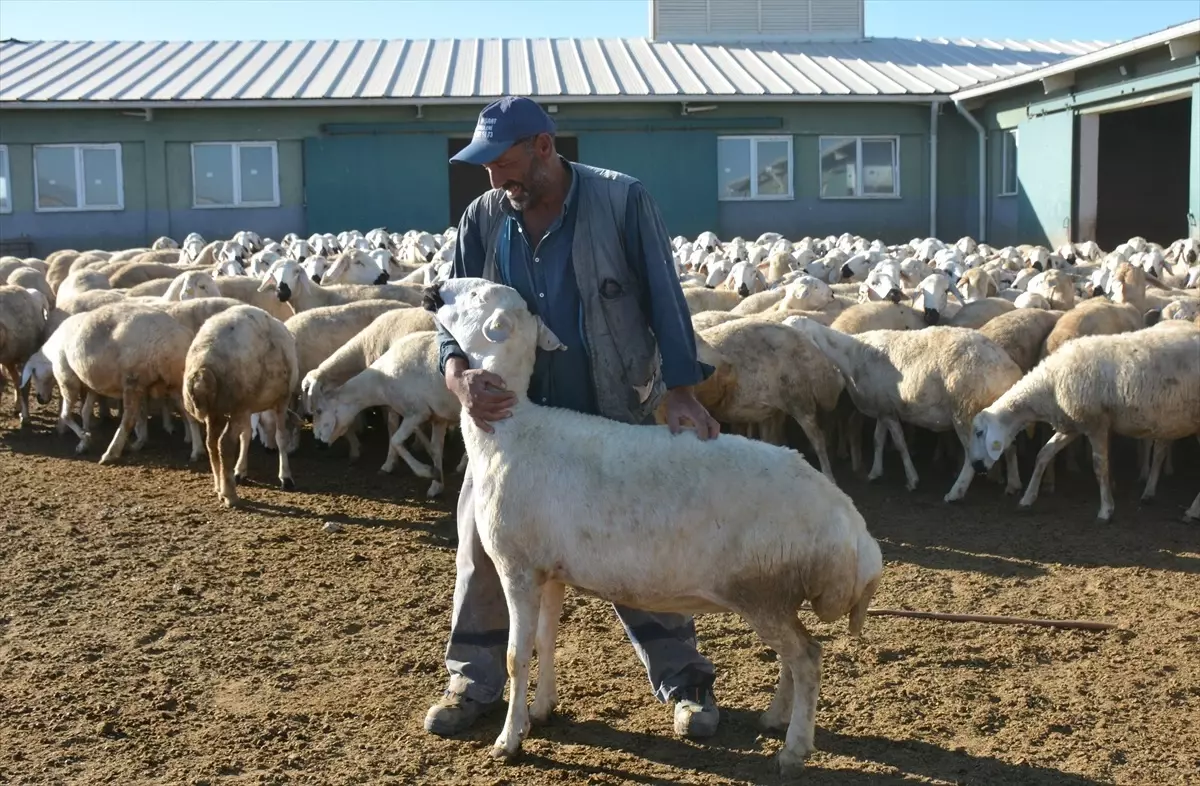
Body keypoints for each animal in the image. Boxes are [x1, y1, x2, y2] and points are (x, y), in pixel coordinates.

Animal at [186, 304, 304, 506]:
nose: (269, 449)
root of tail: (203, 370)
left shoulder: (249, 408)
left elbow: (246, 435)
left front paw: (240, 470)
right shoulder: (282, 399)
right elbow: (280, 437)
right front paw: (286, 477)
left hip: (217, 409)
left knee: (211, 443)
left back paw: (219, 487)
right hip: (235, 404)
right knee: (224, 443)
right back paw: (230, 495)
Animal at [427, 277, 888, 772]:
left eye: (477, 296)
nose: (433, 289)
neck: (511, 430)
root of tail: (853, 529)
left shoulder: (518, 567)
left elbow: (516, 656)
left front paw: (509, 740)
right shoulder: (550, 571)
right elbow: (546, 641)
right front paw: (542, 709)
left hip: (761, 589)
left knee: (807, 658)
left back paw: (794, 749)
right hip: (779, 592)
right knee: (794, 657)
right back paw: (775, 718)